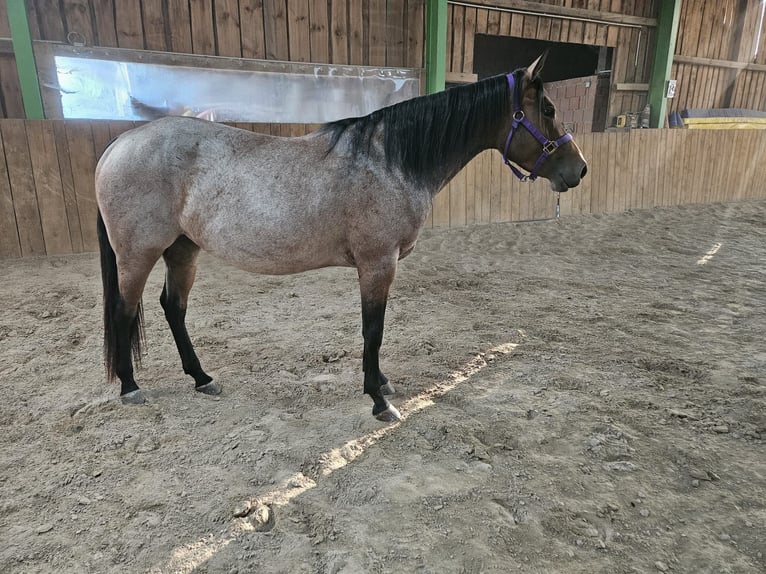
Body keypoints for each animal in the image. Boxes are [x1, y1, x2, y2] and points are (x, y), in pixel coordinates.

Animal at [95, 54, 587, 422]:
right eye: (547, 110)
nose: (579, 170)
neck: (390, 160)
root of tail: (119, 146)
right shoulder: (377, 263)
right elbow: (374, 330)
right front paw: (379, 400)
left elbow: (376, 332)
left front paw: (383, 384)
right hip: (138, 254)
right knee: (124, 310)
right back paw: (131, 387)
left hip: (183, 250)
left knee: (173, 308)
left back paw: (202, 379)